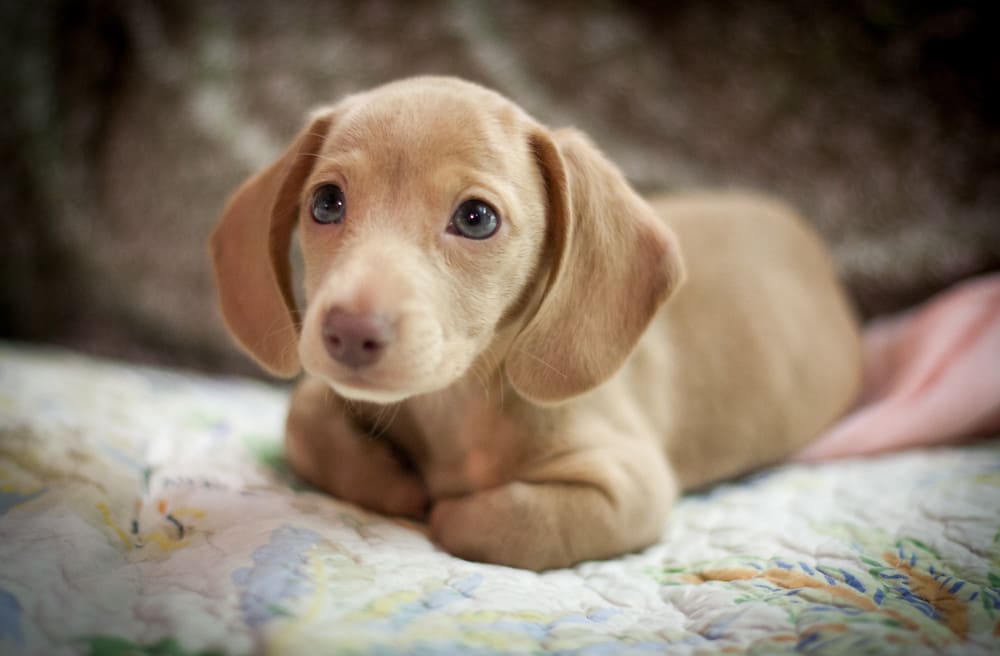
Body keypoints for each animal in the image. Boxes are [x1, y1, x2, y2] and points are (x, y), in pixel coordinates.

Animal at [211, 75, 860, 568]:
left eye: (476, 218)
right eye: (326, 203)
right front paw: (393, 481)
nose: (347, 331)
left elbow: (497, 518)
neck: (457, 407)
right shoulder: (333, 400)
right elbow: (303, 419)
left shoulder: (629, 486)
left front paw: (440, 505)